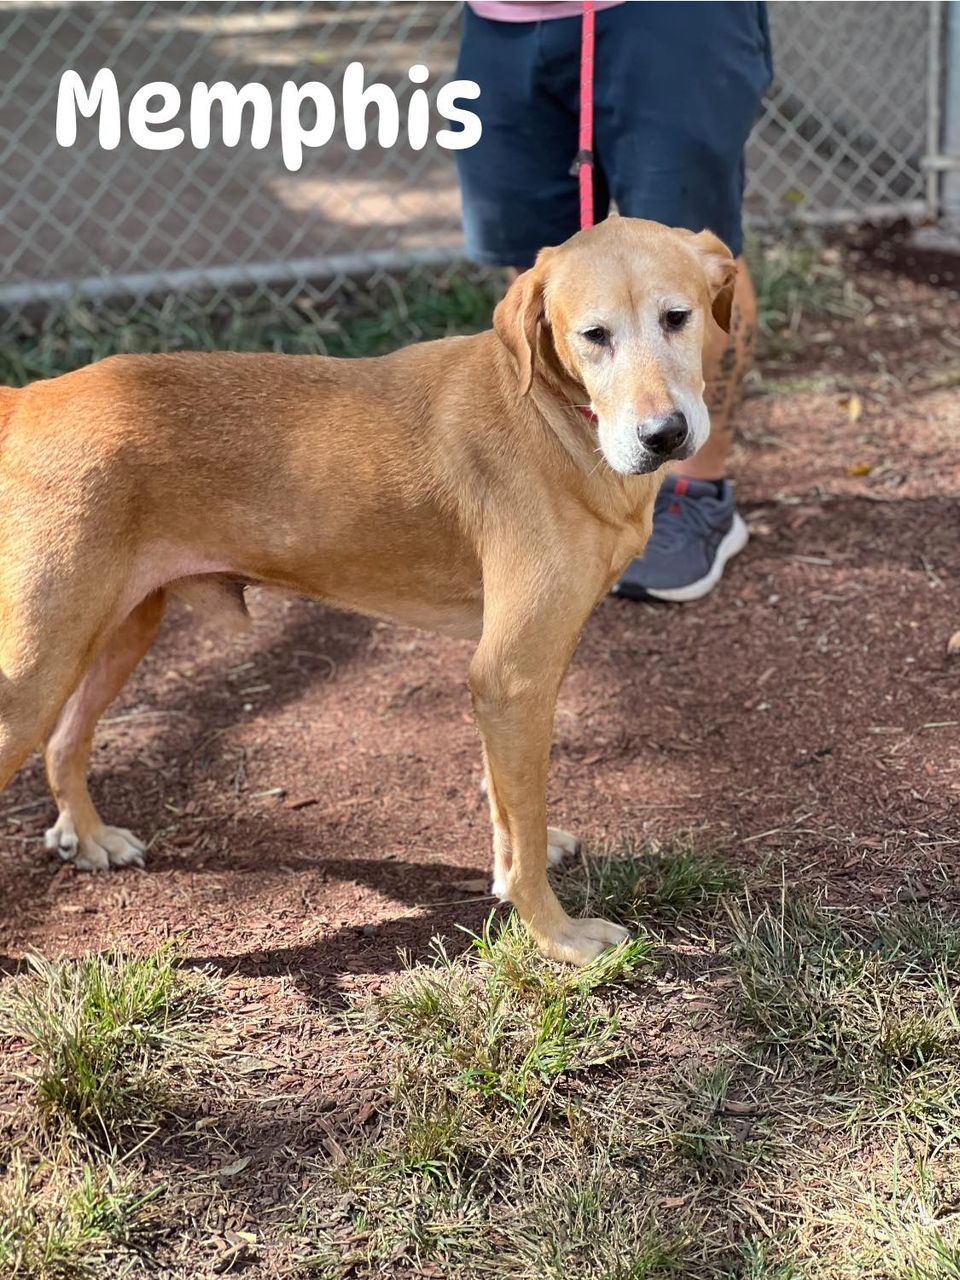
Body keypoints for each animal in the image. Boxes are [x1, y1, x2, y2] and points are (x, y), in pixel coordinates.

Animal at [0, 217, 735, 964]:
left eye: (678, 318)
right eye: (594, 335)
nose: (664, 435)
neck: (554, 415)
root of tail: (26, 402)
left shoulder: (512, 678)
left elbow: (506, 807)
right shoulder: (512, 675)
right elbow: (523, 833)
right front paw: (557, 937)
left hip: (119, 630)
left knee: (64, 742)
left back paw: (88, 836)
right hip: (33, 674)